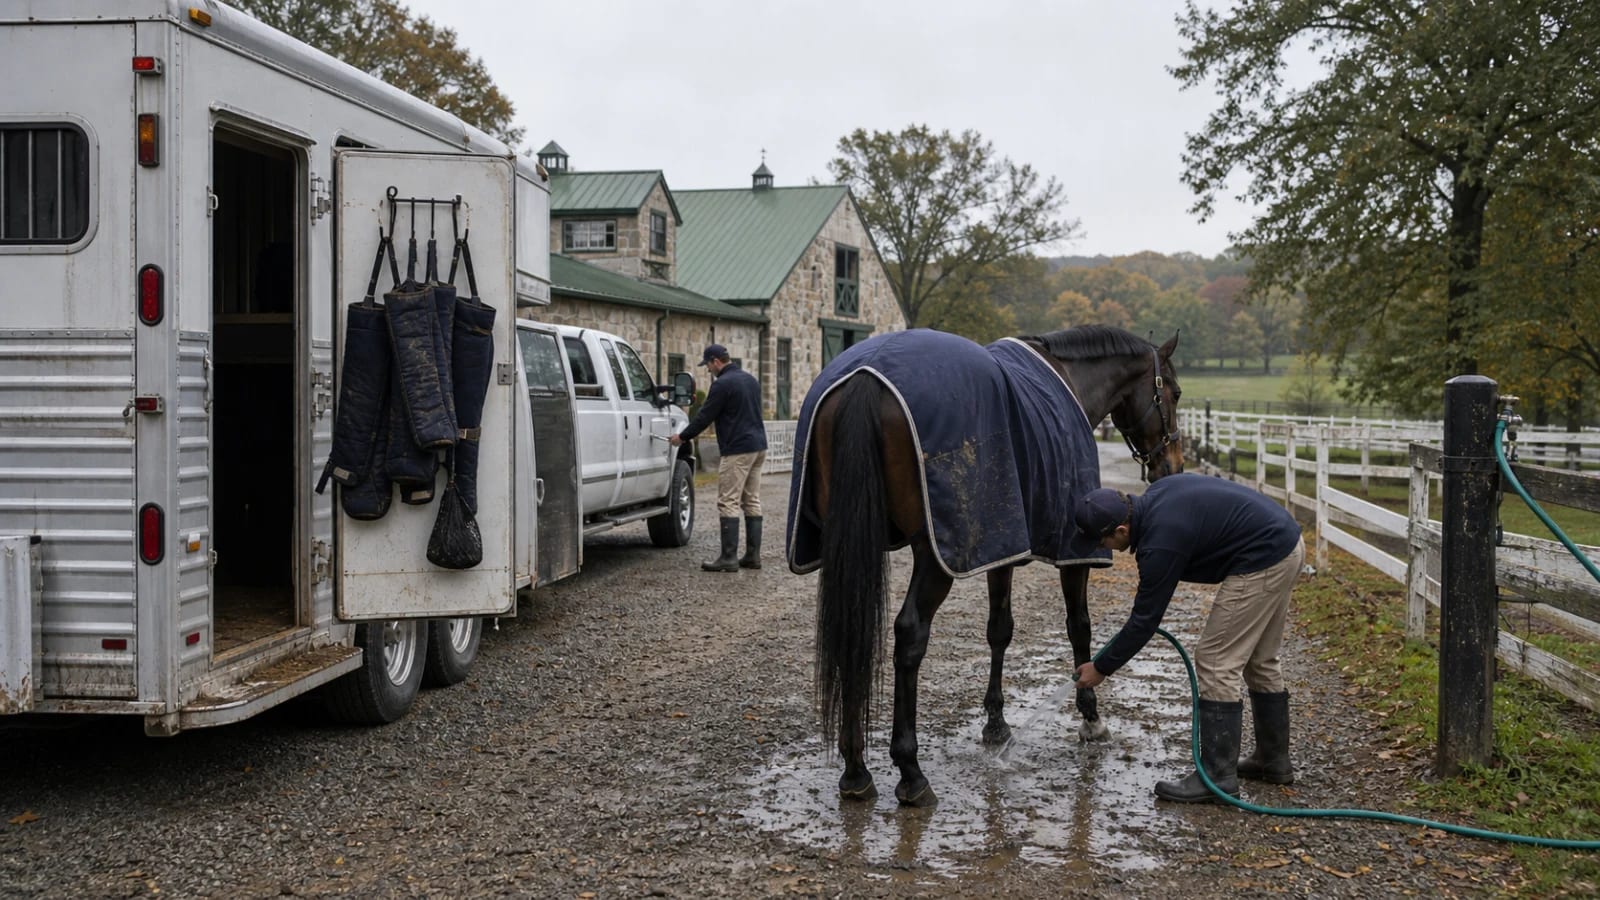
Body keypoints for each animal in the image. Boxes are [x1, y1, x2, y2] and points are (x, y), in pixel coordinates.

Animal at [786, 325, 1183, 806]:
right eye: (1175, 393)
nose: (1173, 465)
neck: (1070, 379)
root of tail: (866, 376)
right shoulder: (1076, 550)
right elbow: (1079, 627)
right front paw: (1091, 717)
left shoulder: (1001, 544)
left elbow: (1000, 629)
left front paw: (996, 723)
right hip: (933, 556)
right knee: (909, 634)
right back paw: (910, 771)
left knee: (852, 627)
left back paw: (855, 768)